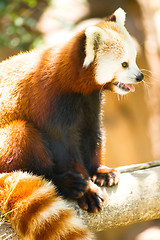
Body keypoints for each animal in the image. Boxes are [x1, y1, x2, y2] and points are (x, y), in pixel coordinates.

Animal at [0, 7, 142, 240]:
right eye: (124, 64)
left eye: (135, 59)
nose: (139, 77)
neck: (73, 84)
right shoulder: (50, 101)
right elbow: (63, 147)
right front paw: (87, 190)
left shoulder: (90, 100)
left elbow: (92, 134)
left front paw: (101, 171)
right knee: (21, 134)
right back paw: (65, 183)